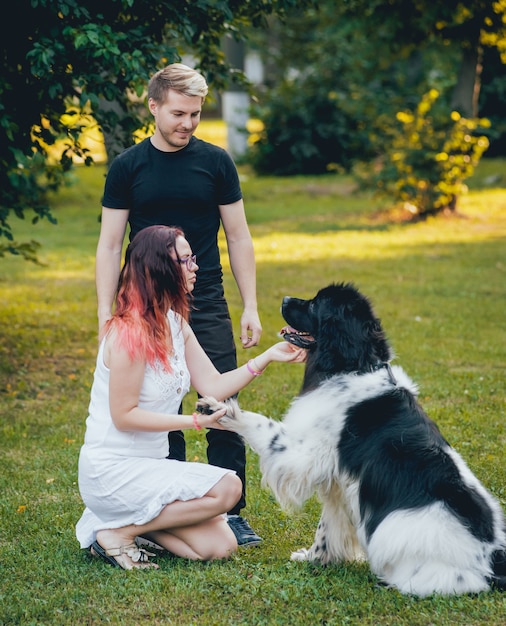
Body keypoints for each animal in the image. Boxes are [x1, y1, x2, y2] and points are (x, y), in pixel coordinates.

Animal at [199, 282, 506, 596]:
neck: (353, 365)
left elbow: (263, 426)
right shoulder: (338, 481)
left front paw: (221, 410)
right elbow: (326, 526)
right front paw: (315, 558)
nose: (284, 299)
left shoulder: (303, 453)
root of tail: (493, 564)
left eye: (315, 304)